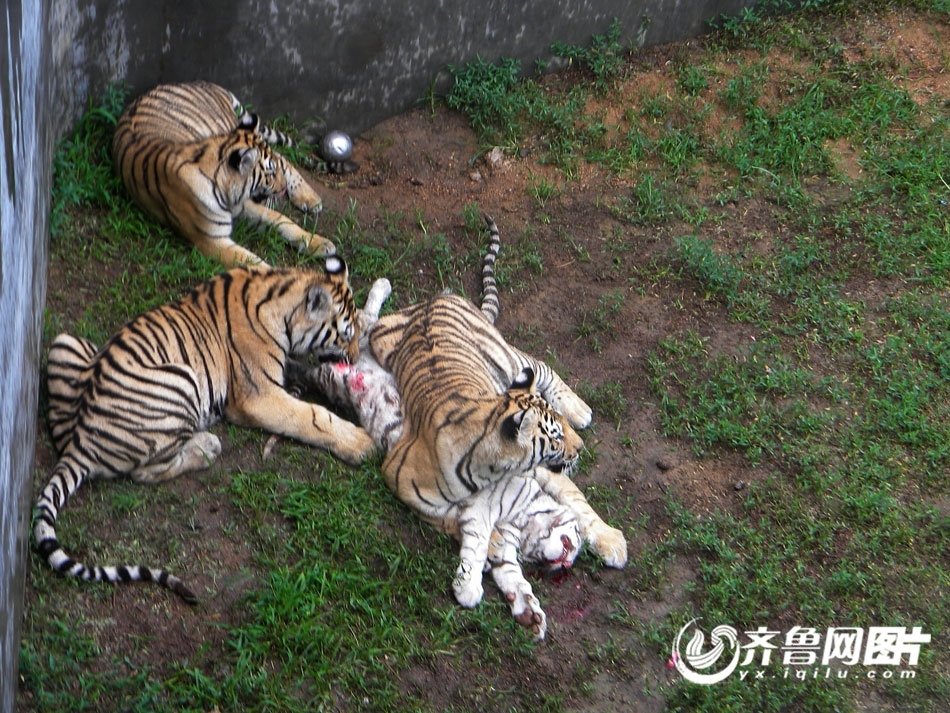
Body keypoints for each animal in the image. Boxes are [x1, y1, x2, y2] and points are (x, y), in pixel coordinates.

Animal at [37, 257, 374, 602]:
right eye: (344, 335)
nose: (355, 358)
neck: (281, 304)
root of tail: (80, 444)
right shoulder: (258, 396)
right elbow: (311, 416)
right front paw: (360, 442)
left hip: (67, 343)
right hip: (182, 378)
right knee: (145, 470)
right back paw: (207, 446)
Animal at [112, 80, 333, 268]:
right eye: (270, 175)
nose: (281, 189)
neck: (226, 191)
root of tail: (201, 82)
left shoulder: (245, 206)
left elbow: (282, 220)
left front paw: (320, 243)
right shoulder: (213, 241)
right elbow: (254, 264)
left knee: (282, 157)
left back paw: (309, 198)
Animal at [291, 217, 626, 638]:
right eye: (552, 438)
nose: (579, 450)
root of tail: (434, 300)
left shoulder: (541, 478)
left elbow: (580, 506)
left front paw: (611, 542)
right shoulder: (413, 487)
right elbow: (485, 544)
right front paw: (514, 596)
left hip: (501, 359)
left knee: (538, 366)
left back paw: (579, 409)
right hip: (382, 339)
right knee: (363, 320)